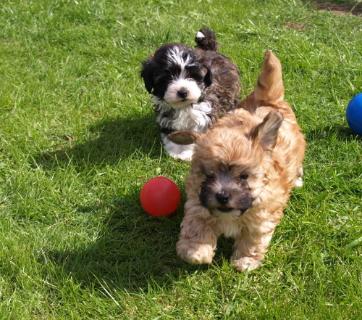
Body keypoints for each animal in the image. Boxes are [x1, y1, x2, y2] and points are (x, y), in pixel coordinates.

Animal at [141, 28, 240, 160]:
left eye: (192, 75)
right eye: (167, 78)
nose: (183, 92)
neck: (184, 106)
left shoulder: (206, 112)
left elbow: (195, 134)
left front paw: (188, 153)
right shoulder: (166, 114)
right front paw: (175, 151)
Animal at [170, 51, 306, 272]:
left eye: (244, 176)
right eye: (209, 175)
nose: (222, 196)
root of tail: (268, 99)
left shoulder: (261, 216)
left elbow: (253, 239)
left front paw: (246, 260)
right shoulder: (198, 202)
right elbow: (196, 225)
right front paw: (195, 251)